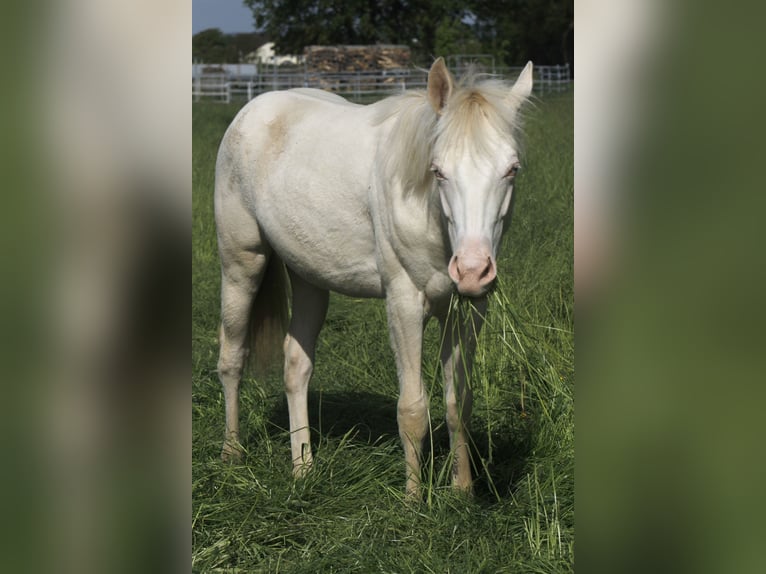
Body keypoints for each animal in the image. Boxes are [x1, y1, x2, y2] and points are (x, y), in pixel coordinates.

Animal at [215, 58, 534, 497]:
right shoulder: (403, 303)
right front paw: (414, 500)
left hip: (310, 277)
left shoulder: (468, 310)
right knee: (231, 358)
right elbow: (413, 408)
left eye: (512, 169)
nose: (471, 270)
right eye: (438, 171)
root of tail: (253, 109)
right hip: (241, 265)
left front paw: (463, 490)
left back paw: (303, 468)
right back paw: (232, 455)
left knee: (296, 365)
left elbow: (459, 403)